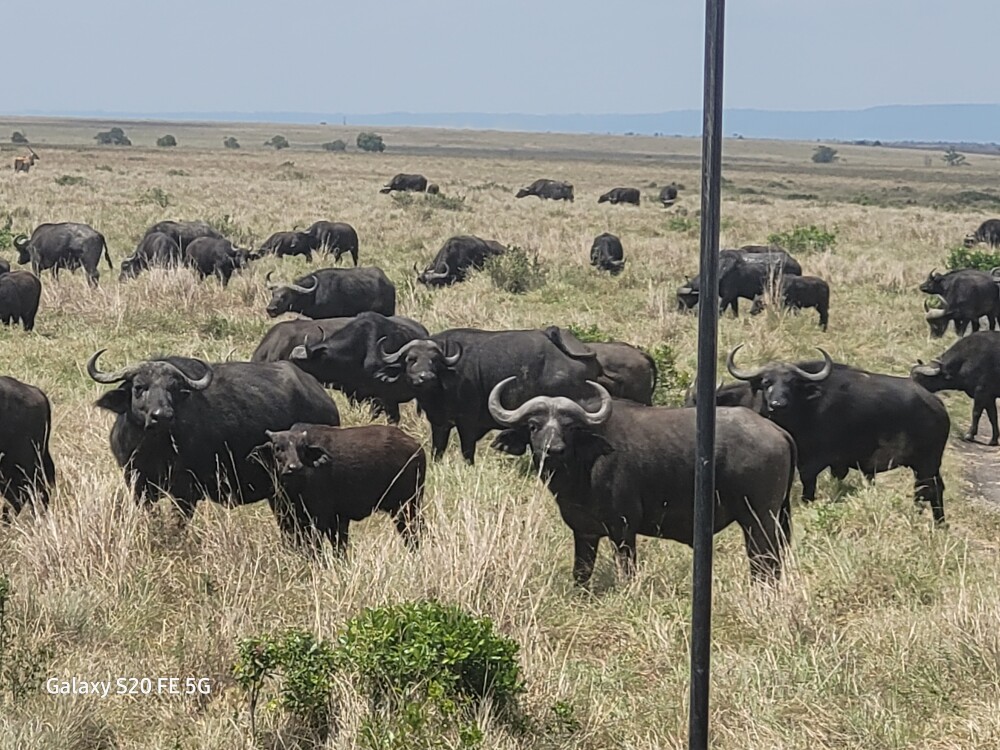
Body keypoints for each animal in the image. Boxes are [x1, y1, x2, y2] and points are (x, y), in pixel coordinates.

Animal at [87, 350, 341, 518]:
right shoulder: (137, 484)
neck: (154, 448)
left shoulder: (186, 491)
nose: (162, 415)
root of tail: (324, 399)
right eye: (139, 387)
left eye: (173, 389)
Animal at [265, 424, 425, 553]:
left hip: (407, 507)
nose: (294, 467)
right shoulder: (289, 520)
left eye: (302, 449)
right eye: (277, 448)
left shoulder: (320, 520)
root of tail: (417, 446)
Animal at [488, 379, 795, 584]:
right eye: (533, 425)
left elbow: (627, 570)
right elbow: (581, 571)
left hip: (758, 519)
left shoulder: (624, 528)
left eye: (570, 427)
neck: (582, 469)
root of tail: (776, 430)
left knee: (765, 560)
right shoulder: (584, 531)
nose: (553, 450)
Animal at [727, 346, 949, 522]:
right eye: (766, 382)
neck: (806, 409)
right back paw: (940, 523)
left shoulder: (813, 464)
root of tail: (937, 405)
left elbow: (808, 491)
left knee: (927, 490)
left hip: (926, 463)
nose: (777, 404)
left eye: (792, 383)